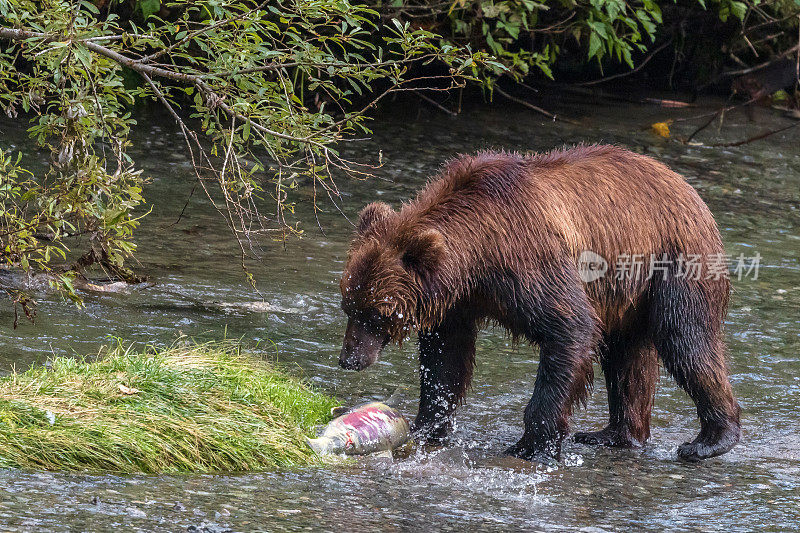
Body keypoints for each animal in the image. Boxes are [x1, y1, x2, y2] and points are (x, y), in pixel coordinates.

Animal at [336, 143, 736, 460]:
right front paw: (426, 426)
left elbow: (569, 328)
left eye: (378, 313)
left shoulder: (528, 260)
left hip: (674, 262)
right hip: (628, 292)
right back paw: (613, 435)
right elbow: (445, 360)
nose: (349, 359)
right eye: (349, 305)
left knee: (686, 341)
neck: (476, 255)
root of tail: (687, 188)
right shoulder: (457, 302)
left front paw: (530, 444)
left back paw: (710, 440)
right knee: (627, 358)